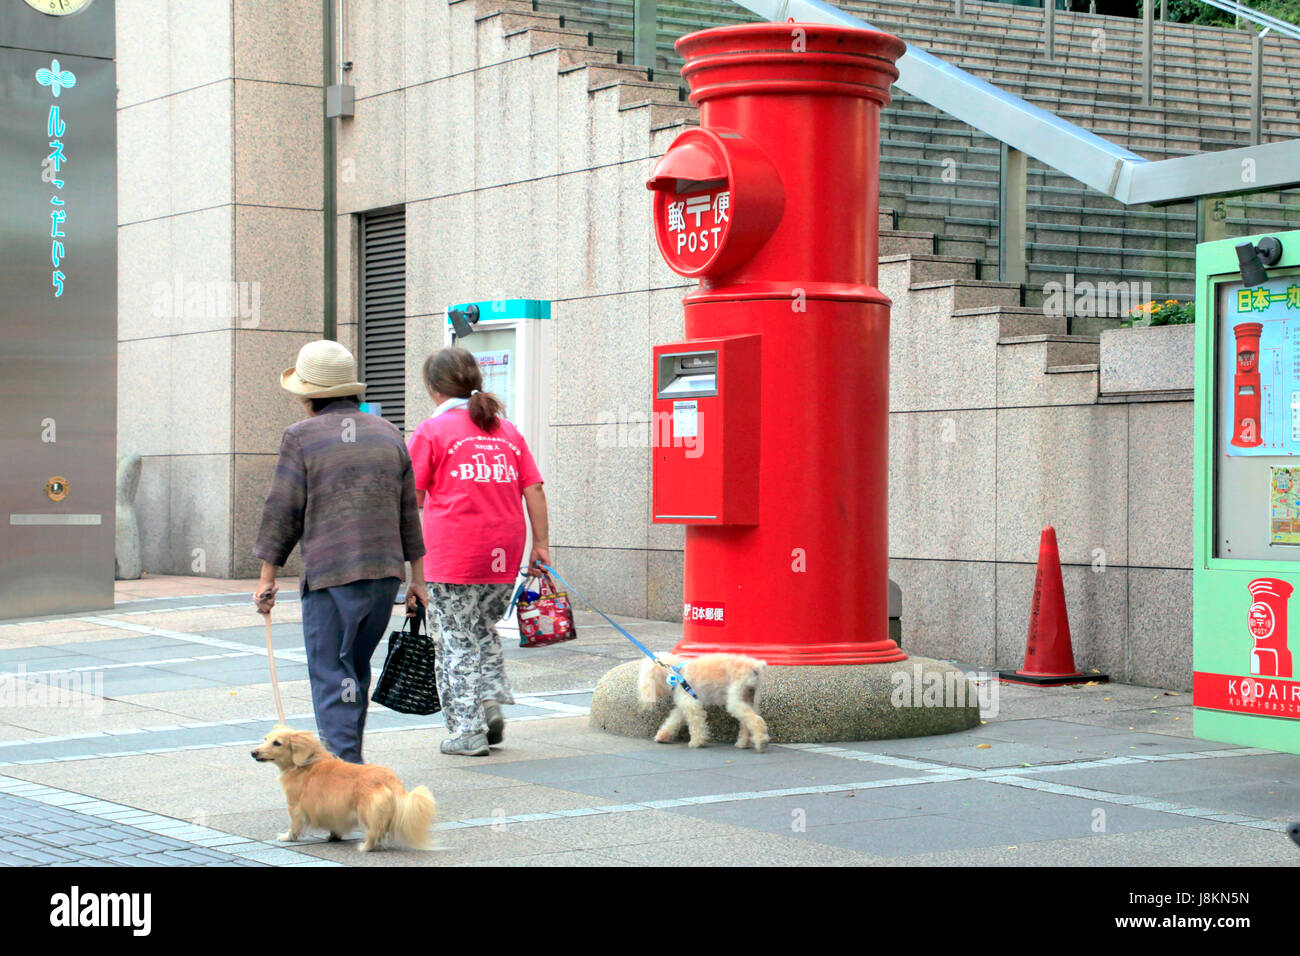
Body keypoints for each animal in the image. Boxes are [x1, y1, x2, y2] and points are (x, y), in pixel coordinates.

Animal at [250, 723, 439, 853]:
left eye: (277, 743)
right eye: (265, 739)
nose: (253, 752)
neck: (306, 764)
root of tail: (390, 779)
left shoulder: (295, 807)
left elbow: (295, 826)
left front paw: (287, 837)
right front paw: (334, 835)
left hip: (366, 812)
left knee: (374, 832)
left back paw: (365, 847)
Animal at [634, 655, 764, 749]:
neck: (677, 673)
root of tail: (755, 667)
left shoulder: (691, 704)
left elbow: (696, 724)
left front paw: (697, 741)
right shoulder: (685, 702)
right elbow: (674, 720)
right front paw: (663, 735)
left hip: (736, 698)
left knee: (755, 720)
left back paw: (761, 741)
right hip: (749, 699)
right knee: (747, 722)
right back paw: (743, 743)